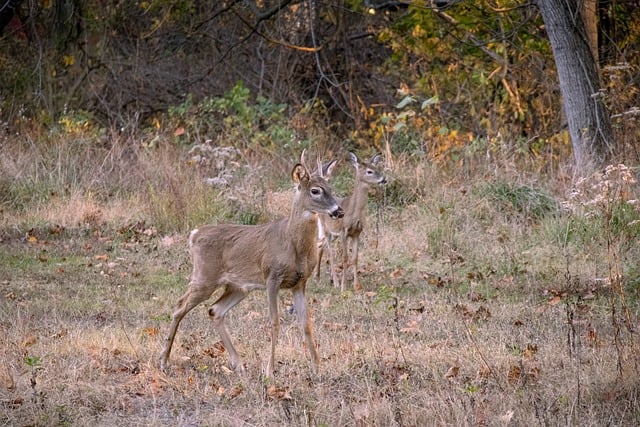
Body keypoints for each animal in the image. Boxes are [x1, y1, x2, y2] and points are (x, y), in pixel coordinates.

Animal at [158, 156, 342, 378]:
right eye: (315, 190)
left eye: (330, 187)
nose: (338, 211)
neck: (294, 245)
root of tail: (194, 235)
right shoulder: (272, 276)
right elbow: (274, 322)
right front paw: (269, 370)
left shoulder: (300, 282)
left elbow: (306, 323)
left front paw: (317, 367)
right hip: (204, 277)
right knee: (179, 307)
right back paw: (163, 360)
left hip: (237, 287)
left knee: (214, 310)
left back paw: (239, 364)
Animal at [318, 152, 388, 292]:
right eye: (369, 171)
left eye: (377, 168)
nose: (384, 179)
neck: (354, 212)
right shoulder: (343, 231)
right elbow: (345, 258)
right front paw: (343, 286)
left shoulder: (357, 232)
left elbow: (355, 258)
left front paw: (357, 286)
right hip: (326, 228)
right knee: (330, 253)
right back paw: (335, 282)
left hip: (333, 234)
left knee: (321, 246)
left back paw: (321, 277)